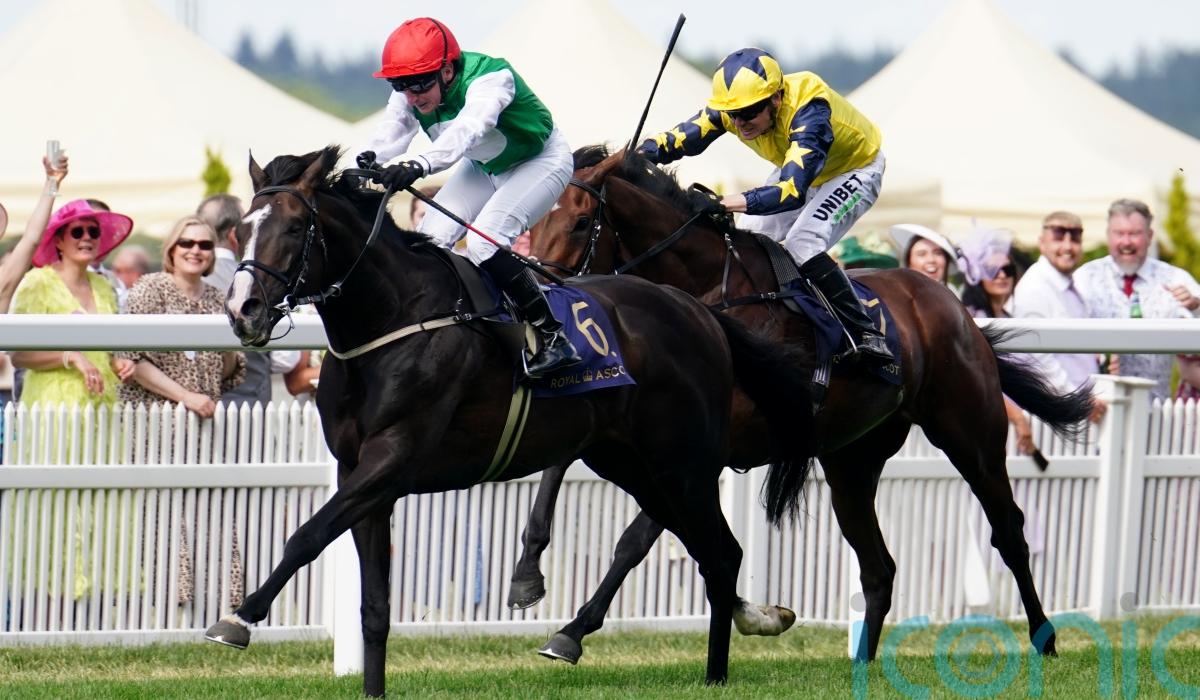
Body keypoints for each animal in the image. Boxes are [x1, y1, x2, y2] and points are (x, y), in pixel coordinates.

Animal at [203, 146, 818, 695]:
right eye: (240, 232)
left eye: (293, 227)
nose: (242, 309)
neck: (393, 318)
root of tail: (701, 311)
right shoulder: (361, 473)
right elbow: (373, 606)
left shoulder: (393, 458)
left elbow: (306, 535)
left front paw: (239, 617)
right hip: (629, 461)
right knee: (712, 550)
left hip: (684, 463)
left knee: (717, 554)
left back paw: (714, 668)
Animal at [517, 145, 1094, 664]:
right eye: (534, 218)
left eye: (580, 221)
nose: (541, 293)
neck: (708, 296)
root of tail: (952, 305)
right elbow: (561, 474)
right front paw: (529, 574)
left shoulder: (703, 449)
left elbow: (638, 539)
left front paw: (570, 633)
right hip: (852, 461)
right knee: (879, 567)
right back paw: (862, 662)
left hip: (970, 434)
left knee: (1009, 532)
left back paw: (1045, 638)